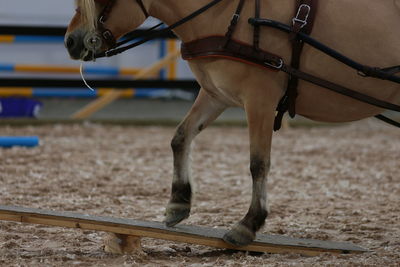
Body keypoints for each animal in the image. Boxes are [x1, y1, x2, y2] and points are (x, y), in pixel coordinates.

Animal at [65, 0, 400, 247]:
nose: (70, 41)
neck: (231, 15)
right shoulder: (216, 95)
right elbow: (181, 137)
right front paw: (178, 203)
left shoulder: (260, 101)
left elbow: (258, 164)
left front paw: (248, 224)